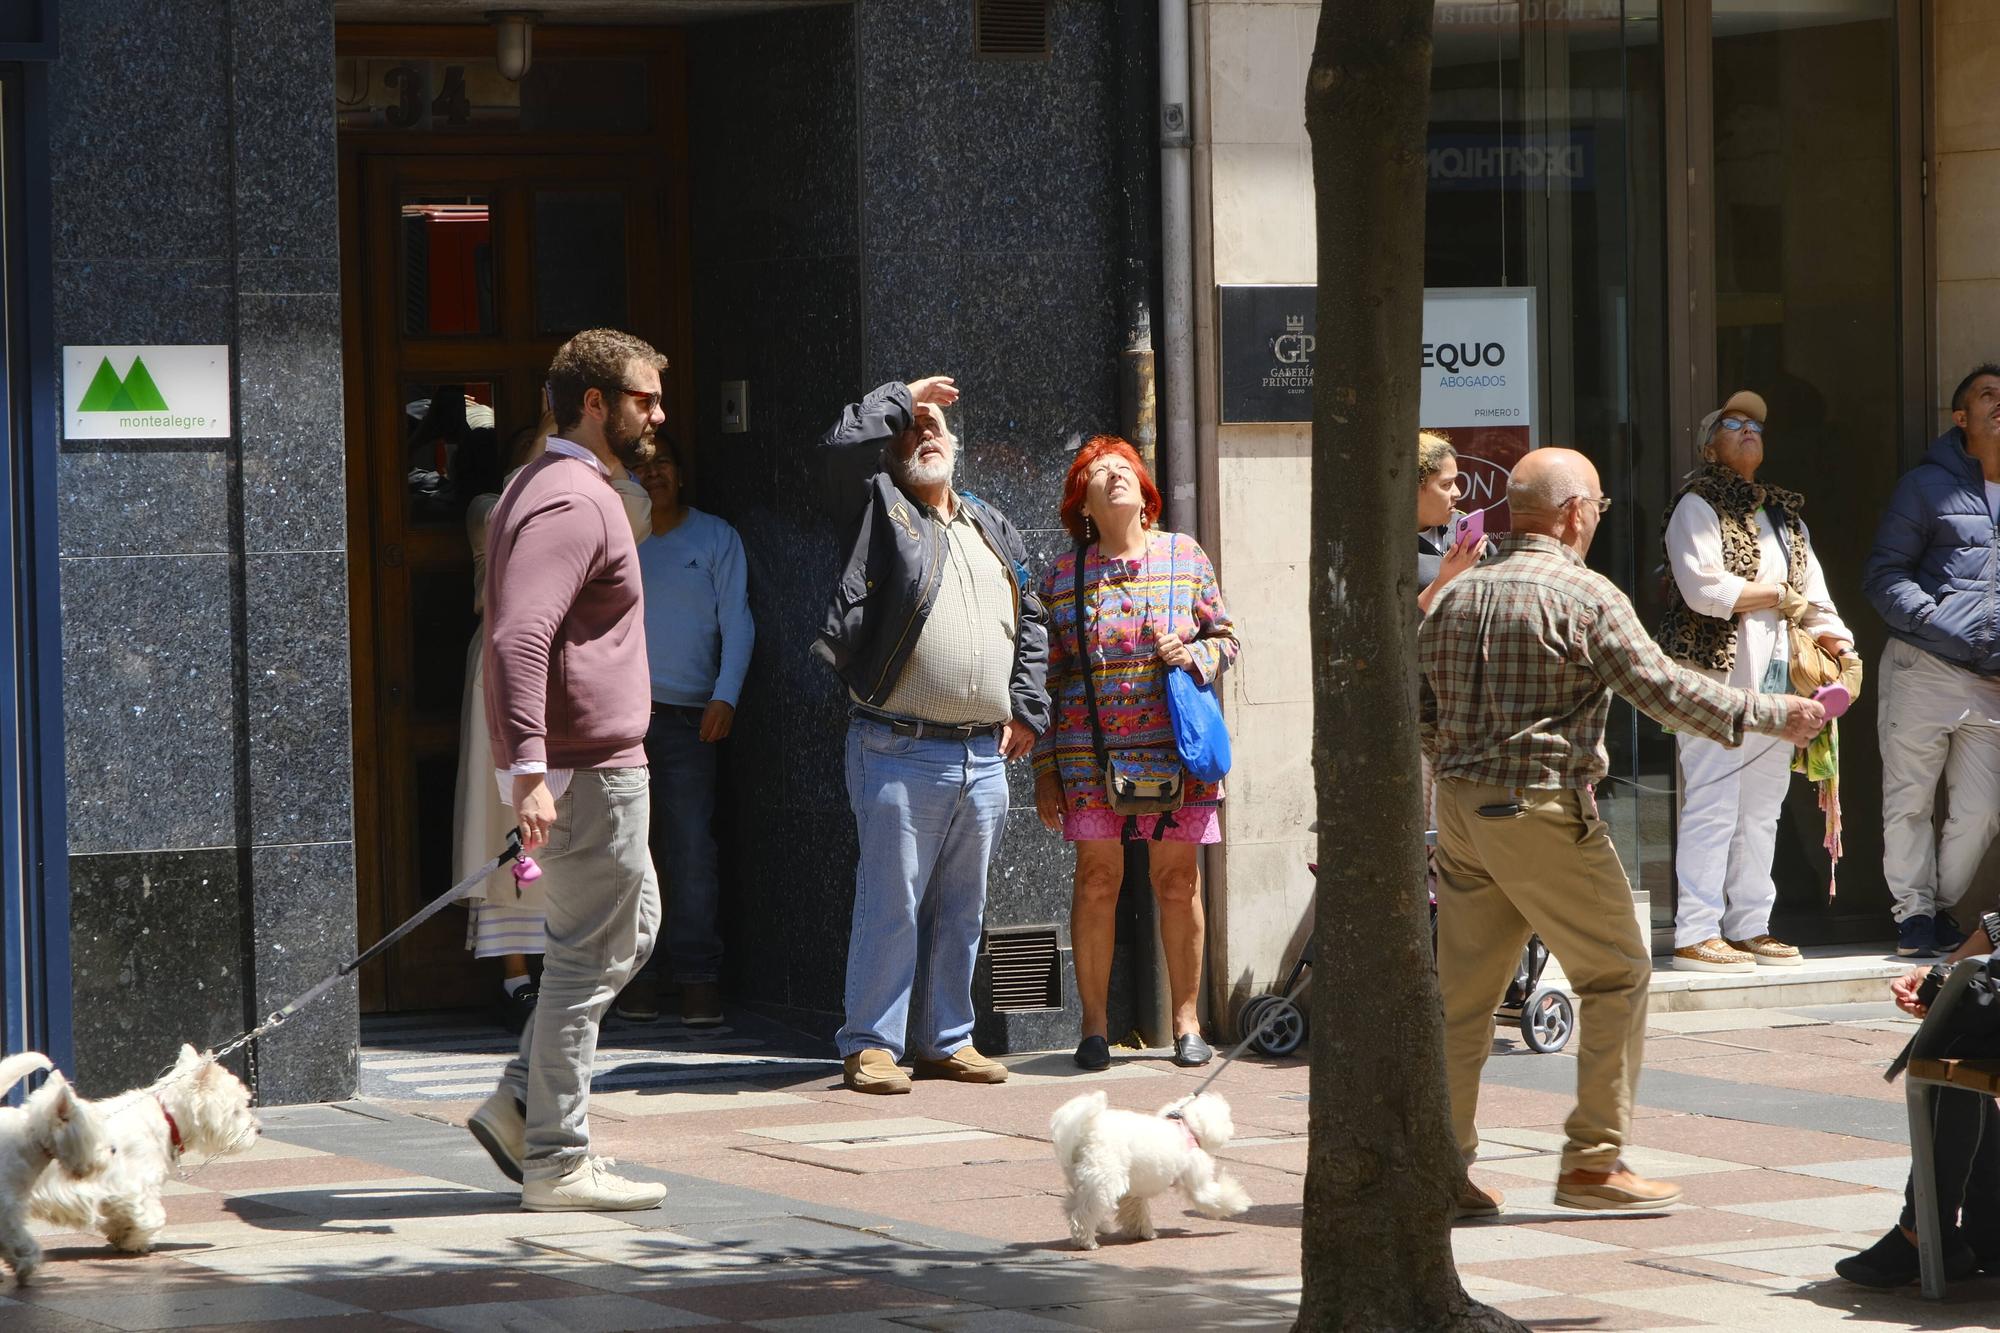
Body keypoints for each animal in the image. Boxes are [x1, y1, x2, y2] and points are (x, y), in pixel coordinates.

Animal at [0, 1048, 107, 1280]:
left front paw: (18, 1263)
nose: (113, 1150)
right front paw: (27, 1262)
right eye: (90, 1135)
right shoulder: (7, 1204)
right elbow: (17, 1235)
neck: (32, 1137)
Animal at [27, 1040, 260, 1248]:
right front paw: (137, 1240)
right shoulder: (133, 1183)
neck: (167, 1118)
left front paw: (123, 1235)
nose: (258, 1130)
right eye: (236, 1110)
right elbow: (154, 1215)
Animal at [1048, 1088, 1248, 1240]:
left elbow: (1135, 1210)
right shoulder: (1197, 1180)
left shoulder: (1133, 1192)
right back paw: (1087, 1241)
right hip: (1103, 1180)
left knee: (1072, 1206)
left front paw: (1143, 1232)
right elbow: (1212, 1197)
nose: (1232, 1126)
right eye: (1227, 1117)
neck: (1187, 1126)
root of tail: (1085, 1132)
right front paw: (1240, 1202)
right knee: (1084, 1212)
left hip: (1084, 1180)